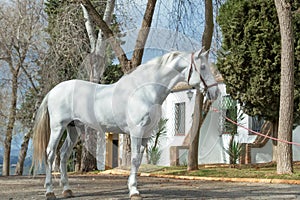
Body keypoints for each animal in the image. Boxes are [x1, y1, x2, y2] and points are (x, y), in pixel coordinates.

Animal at [32, 49, 219, 198]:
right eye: (202, 67)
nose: (215, 92)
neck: (144, 91)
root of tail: (54, 91)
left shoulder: (146, 134)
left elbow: (138, 160)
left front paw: (133, 188)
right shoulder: (136, 131)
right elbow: (135, 159)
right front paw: (134, 191)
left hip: (74, 129)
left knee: (63, 155)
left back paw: (67, 190)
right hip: (58, 127)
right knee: (50, 154)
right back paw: (49, 192)